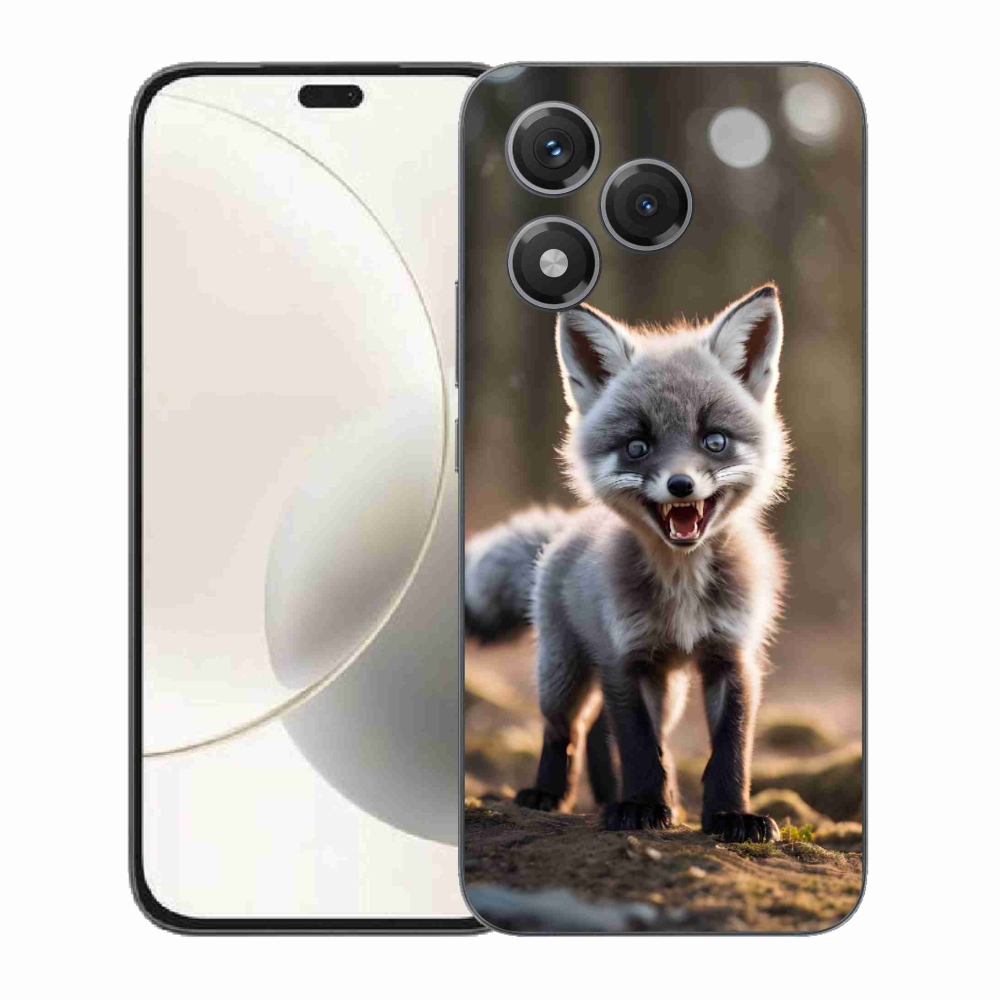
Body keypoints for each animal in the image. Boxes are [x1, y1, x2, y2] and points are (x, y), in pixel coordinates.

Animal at [465, 284, 790, 843]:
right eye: (637, 446)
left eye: (715, 440)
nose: (681, 485)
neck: (682, 588)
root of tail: (566, 529)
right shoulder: (625, 658)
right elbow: (639, 747)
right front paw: (640, 806)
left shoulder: (732, 656)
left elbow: (730, 751)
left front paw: (731, 816)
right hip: (564, 672)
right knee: (566, 728)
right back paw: (549, 793)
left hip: (667, 687)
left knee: (604, 729)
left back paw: (621, 795)